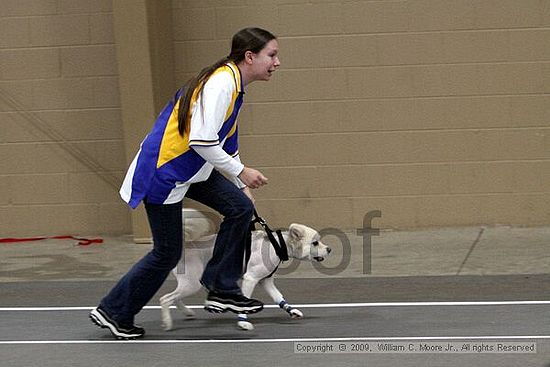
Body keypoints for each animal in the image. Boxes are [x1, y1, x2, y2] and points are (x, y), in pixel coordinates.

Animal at [160, 208, 332, 332]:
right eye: (315, 243)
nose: (329, 249)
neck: (276, 245)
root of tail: (186, 244)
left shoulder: (266, 282)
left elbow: (278, 297)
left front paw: (291, 311)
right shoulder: (250, 279)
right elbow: (244, 302)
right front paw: (243, 322)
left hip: (188, 285)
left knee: (175, 298)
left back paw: (187, 312)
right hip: (192, 283)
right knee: (166, 299)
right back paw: (167, 323)